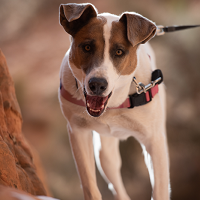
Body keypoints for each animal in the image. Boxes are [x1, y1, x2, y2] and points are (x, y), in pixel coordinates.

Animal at [57, 2, 170, 200]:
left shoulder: (154, 141)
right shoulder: (78, 132)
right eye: (87, 47)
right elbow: (89, 185)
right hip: (105, 155)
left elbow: (161, 189)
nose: (97, 84)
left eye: (119, 52)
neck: (114, 104)